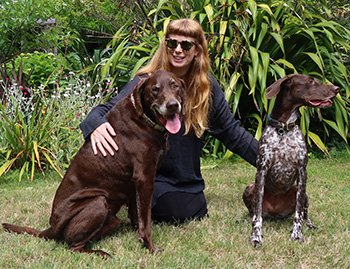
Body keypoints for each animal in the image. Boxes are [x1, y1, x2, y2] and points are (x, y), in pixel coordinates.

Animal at [1, 69, 185, 258]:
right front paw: (150, 247)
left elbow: (137, 214)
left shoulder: (135, 183)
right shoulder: (144, 177)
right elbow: (145, 219)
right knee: (73, 247)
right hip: (98, 203)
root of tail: (51, 229)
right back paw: (101, 253)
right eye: (155, 89)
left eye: (175, 85)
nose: (173, 105)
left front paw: (138, 236)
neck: (144, 119)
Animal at [243, 73, 340, 245]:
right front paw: (256, 235)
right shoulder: (261, 171)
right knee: (253, 211)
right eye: (311, 81)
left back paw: (310, 225)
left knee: (304, 214)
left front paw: (296, 233)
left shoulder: (302, 172)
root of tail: (275, 212)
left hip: (304, 194)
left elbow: (298, 214)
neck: (283, 129)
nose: (337, 88)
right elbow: (257, 213)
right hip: (249, 187)